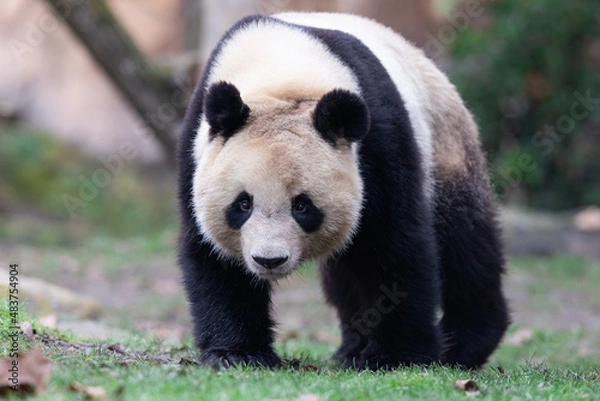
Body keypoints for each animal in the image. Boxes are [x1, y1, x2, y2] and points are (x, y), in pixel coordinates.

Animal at [178, 11, 510, 368]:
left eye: (302, 206)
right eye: (242, 204)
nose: (269, 260)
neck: (280, 73)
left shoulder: (378, 140)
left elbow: (395, 245)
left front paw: (395, 356)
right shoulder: (197, 152)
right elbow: (213, 256)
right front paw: (237, 353)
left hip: (445, 148)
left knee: (465, 245)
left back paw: (464, 345)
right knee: (347, 273)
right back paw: (351, 347)